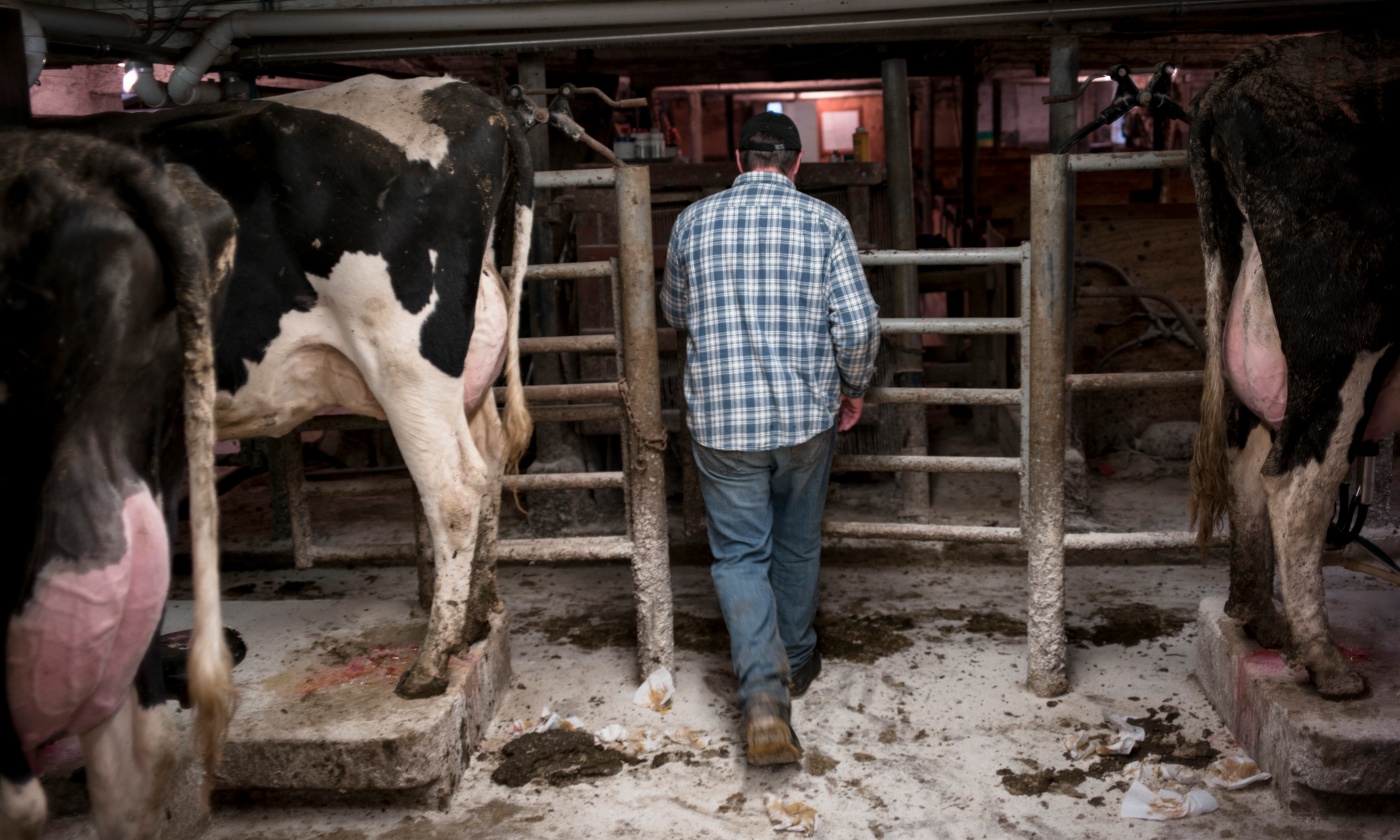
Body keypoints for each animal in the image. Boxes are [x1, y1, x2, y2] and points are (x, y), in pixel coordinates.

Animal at [60, 75, 532, 700]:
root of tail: (474, 98)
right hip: (467, 368)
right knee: (491, 455)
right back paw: (478, 618)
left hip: (403, 359)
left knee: (454, 487)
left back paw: (430, 662)